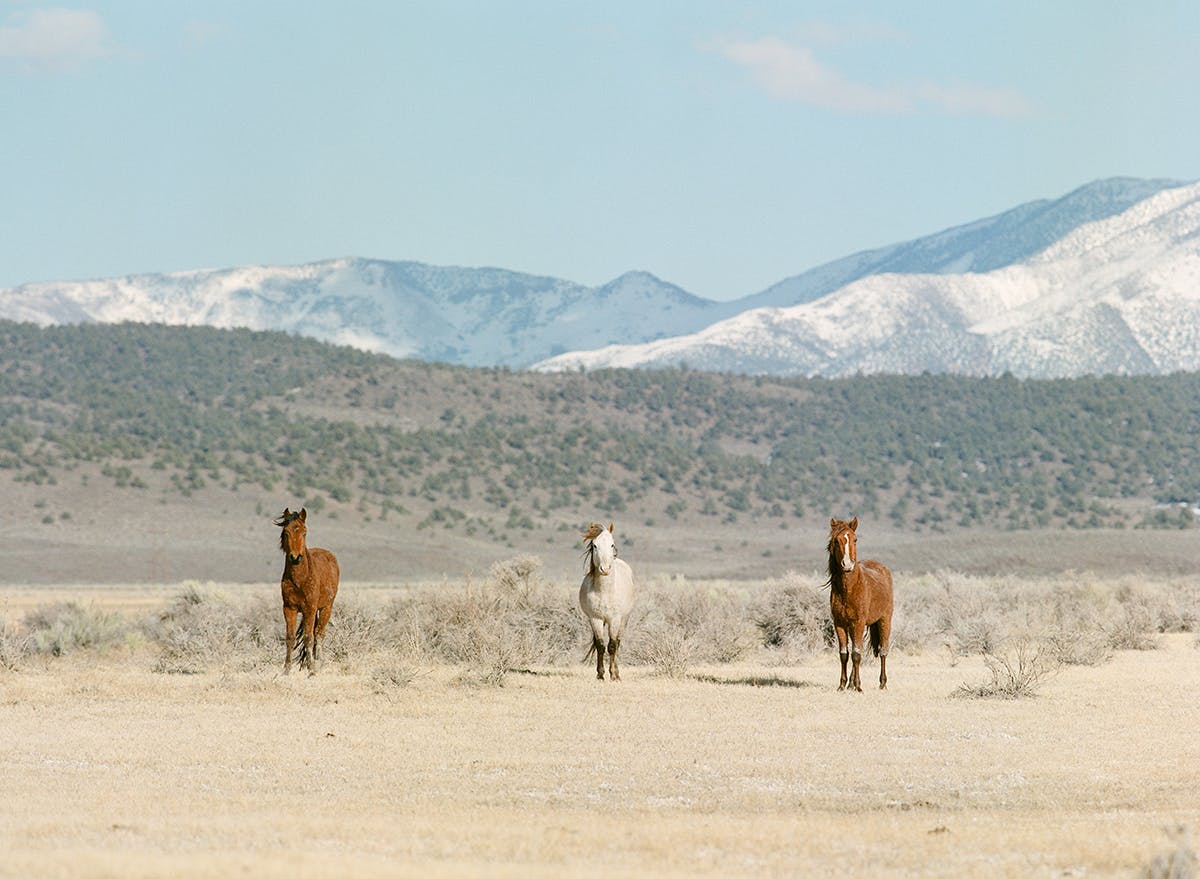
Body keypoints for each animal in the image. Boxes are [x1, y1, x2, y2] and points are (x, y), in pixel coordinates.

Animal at [274, 509, 340, 672]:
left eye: (304, 532)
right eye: (286, 532)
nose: (295, 557)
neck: (300, 579)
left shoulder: (310, 608)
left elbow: (308, 637)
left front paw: (311, 669)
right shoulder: (289, 608)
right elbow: (290, 638)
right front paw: (286, 669)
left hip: (326, 608)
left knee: (319, 634)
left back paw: (319, 661)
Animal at [580, 521, 638, 682]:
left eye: (612, 544)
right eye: (594, 545)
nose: (605, 569)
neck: (605, 591)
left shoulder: (615, 619)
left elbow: (612, 646)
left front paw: (613, 675)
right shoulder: (595, 619)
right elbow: (600, 645)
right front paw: (600, 674)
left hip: (624, 620)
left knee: (617, 643)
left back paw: (617, 672)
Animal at [825, 513, 892, 691]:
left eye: (855, 539)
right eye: (836, 541)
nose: (847, 565)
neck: (849, 589)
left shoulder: (859, 622)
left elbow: (856, 654)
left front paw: (858, 686)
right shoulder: (840, 623)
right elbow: (844, 654)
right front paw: (842, 685)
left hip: (884, 620)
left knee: (883, 651)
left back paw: (882, 683)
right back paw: (850, 684)